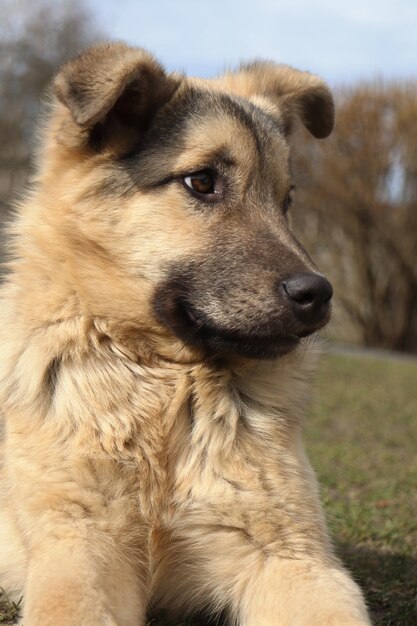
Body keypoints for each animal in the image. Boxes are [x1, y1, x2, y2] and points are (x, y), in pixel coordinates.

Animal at [0, 41, 370, 620]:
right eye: (201, 181)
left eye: (285, 200)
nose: (318, 295)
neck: (167, 380)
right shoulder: (80, 543)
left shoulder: (292, 554)